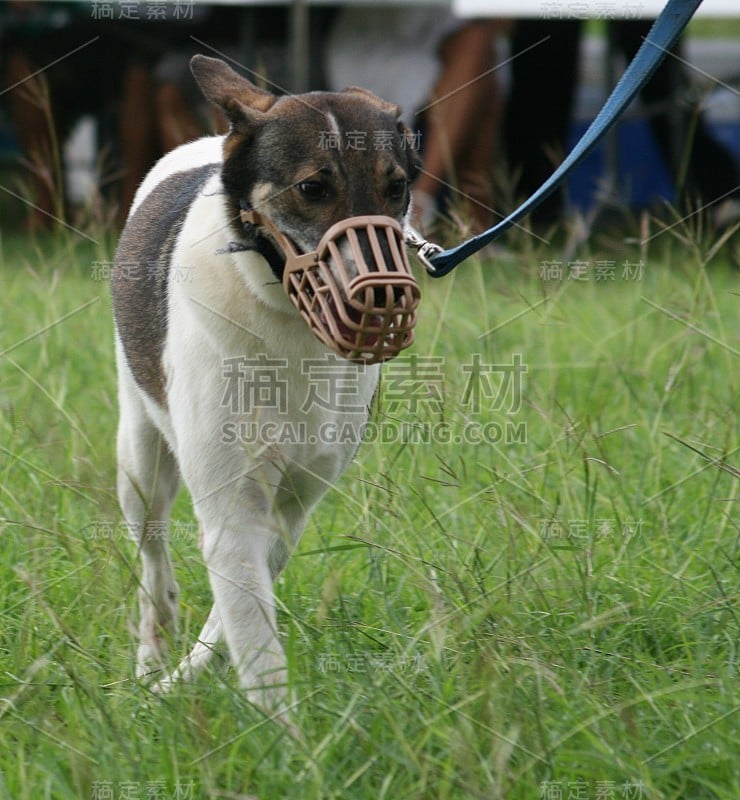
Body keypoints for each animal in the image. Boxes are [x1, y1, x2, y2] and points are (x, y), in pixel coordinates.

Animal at [110, 57, 422, 720]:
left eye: (397, 187)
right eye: (311, 188)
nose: (384, 297)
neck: (287, 320)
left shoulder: (294, 503)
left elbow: (243, 603)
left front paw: (201, 675)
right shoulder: (231, 494)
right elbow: (252, 632)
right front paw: (282, 734)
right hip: (139, 452)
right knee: (150, 548)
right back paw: (153, 651)